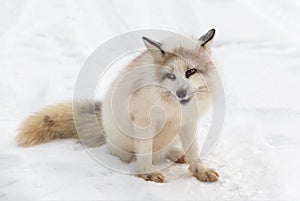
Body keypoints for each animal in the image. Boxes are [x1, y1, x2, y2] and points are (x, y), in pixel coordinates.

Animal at [18, 29, 220, 183]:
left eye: (191, 71)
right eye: (171, 76)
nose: (181, 94)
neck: (172, 109)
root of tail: (102, 122)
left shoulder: (188, 121)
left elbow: (194, 151)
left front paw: (200, 170)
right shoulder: (144, 121)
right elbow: (145, 152)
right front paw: (147, 174)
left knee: (167, 150)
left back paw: (177, 154)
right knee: (138, 154)